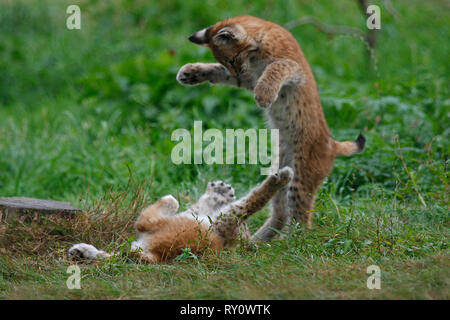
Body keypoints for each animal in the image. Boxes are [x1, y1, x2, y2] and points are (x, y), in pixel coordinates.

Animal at [67, 168, 292, 262]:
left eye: (245, 229)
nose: (244, 230)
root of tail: (158, 255)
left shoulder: (225, 219)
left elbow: (253, 201)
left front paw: (281, 178)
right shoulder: (211, 217)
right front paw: (220, 192)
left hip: (157, 225)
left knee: (152, 214)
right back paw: (81, 251)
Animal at [177, 15, 366, 240]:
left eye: (231, 60)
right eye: (226, 62)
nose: (236, 71)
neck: (258, 42)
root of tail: (332, 143)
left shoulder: (293, 67)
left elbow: (277, 67)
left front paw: (264, 94)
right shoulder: (249, 77)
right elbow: (219, 73)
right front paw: (191, 72)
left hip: (301, 177)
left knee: (303, 220)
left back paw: (291, 243)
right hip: (281, 170)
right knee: (281, 213)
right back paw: (259, 242)